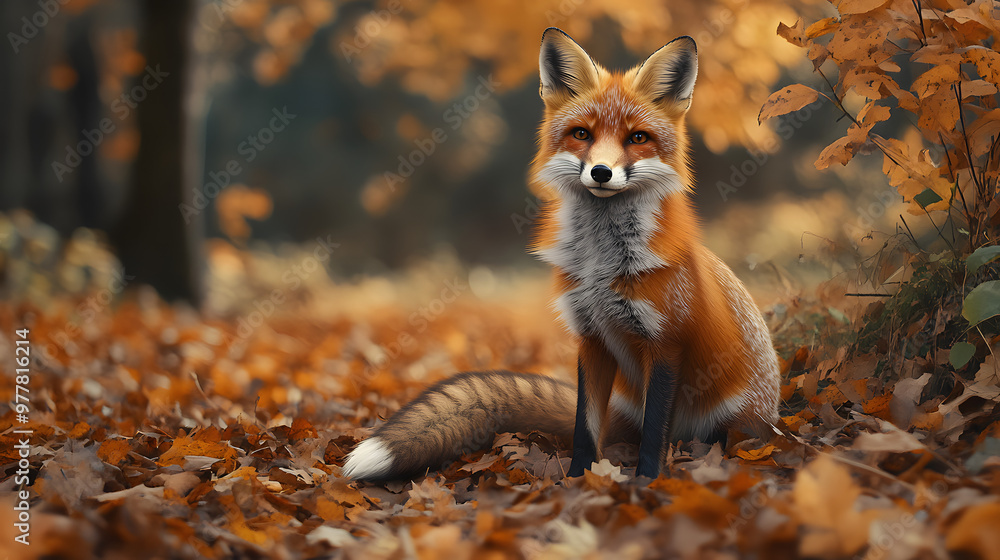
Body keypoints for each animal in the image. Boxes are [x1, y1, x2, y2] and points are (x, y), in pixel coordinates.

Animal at [343, 28, 781, 481]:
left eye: (637, 138)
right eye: (582, 134)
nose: (601, 172)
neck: (602, 265)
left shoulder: (666, 343)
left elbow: (655, 433)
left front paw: (646, 483)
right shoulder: (591, 337)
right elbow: (584, 427)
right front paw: (579, 480)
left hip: (732, 423)